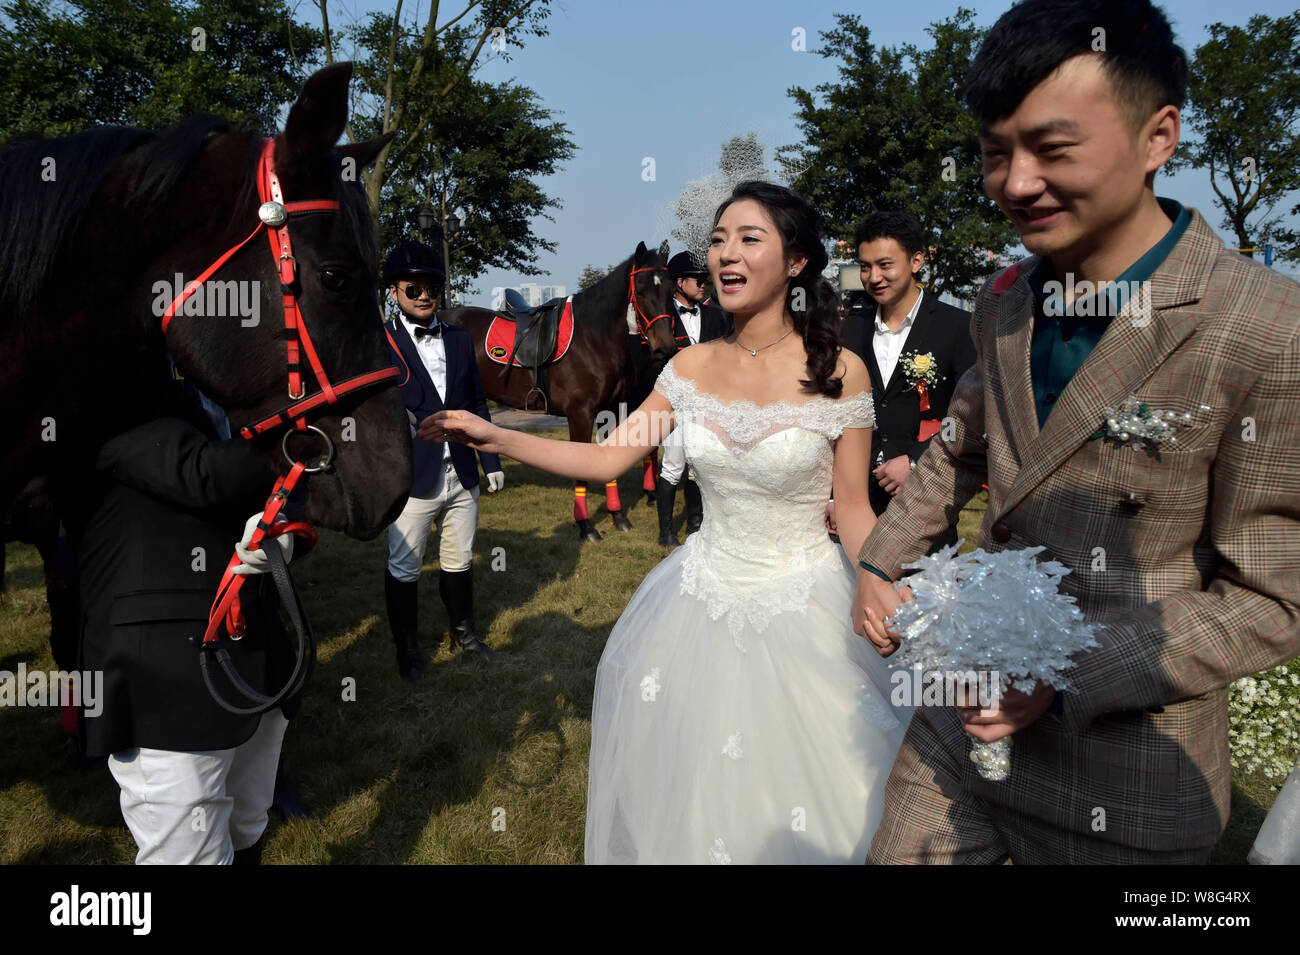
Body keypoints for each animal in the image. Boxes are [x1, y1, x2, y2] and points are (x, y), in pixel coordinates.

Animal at [441, 242, 676, 540]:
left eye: (671, 290)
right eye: (642, 291)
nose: (664, 347)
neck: (593, 338)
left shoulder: (610, 410)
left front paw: (618, 516)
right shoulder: (580, 414)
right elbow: (582, 470)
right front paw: (586, 526)